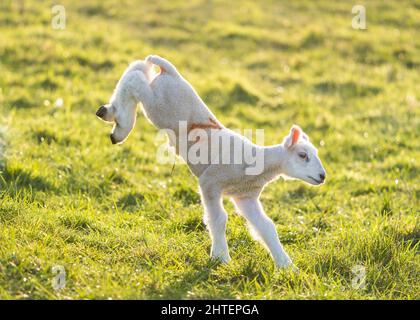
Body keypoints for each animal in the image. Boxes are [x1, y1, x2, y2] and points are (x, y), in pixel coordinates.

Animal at [97, 55, 326, 268]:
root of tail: (172, 73)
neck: (259, 164)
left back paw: (111, 115)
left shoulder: (245, 195)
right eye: (303, 155)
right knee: (135, 79)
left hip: (157, 94)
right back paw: (118, 123)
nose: (322, 176)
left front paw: (287, 266)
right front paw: (221, 257)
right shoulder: (210, 181)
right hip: (157, 104)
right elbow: (218, 219)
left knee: (138, 68)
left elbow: (266, 227)